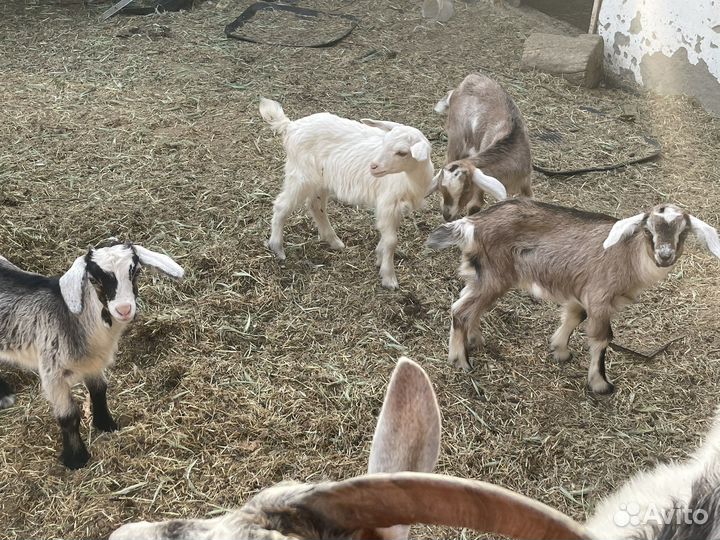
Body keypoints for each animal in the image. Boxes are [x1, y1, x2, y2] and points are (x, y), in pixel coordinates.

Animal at [0, 239, 184, 469]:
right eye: (94, 279)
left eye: (135, 271)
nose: (124, 309)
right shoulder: (52, 372)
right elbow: (68, 416)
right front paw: (76, 459)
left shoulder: (93, 362)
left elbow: (99, 390)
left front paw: (106, 424)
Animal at [259, 97, 436, 289]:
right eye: (384, 143)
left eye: (402, 152)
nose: (373, 166)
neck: (411, 179)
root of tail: (290, 126)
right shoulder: (387, 202)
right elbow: (391, 241)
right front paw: (389, 278)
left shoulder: (396, 207)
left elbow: (386, 236)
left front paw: (379, 257)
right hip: (301, 175)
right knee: (282, 205)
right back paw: (277, 248)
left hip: (321, 180)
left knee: (315, 206)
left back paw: (334, 241)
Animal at [427, 199, 720, 394]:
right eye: (648, 230)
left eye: (684, 231)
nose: (665, 255)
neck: (627, 255)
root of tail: (472, 223)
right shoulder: (600, 297)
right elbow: (602, 338)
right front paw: (601, 384)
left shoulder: (582, 292)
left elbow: (574, 316)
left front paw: (560, 350)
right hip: (494, 275)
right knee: (461, 310)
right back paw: (461, 361)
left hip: (482, 274)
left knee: (467, 304)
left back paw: (474, 340)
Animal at [429, 73, 531, 221]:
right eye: (442, 187)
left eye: (466, 188)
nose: (447, 215)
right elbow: (475, 206)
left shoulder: (526, 180)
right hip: (455, 137)